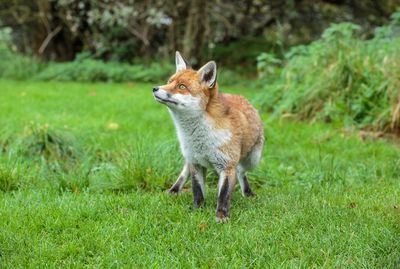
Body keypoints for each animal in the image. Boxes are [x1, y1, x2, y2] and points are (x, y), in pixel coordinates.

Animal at [152, 51, 264, 221]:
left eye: (181, 86)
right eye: (169, 82)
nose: (155, 88)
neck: (201, 138)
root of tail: (242, 97)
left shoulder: (227, 165)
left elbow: (224, 194)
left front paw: (221, 215)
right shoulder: (196, 162)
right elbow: (197, 190)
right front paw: (196, 210)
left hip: (252, 160)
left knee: (241, 171)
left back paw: (247, 192)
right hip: (189, 156)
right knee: (184, 170)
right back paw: (174, 190)